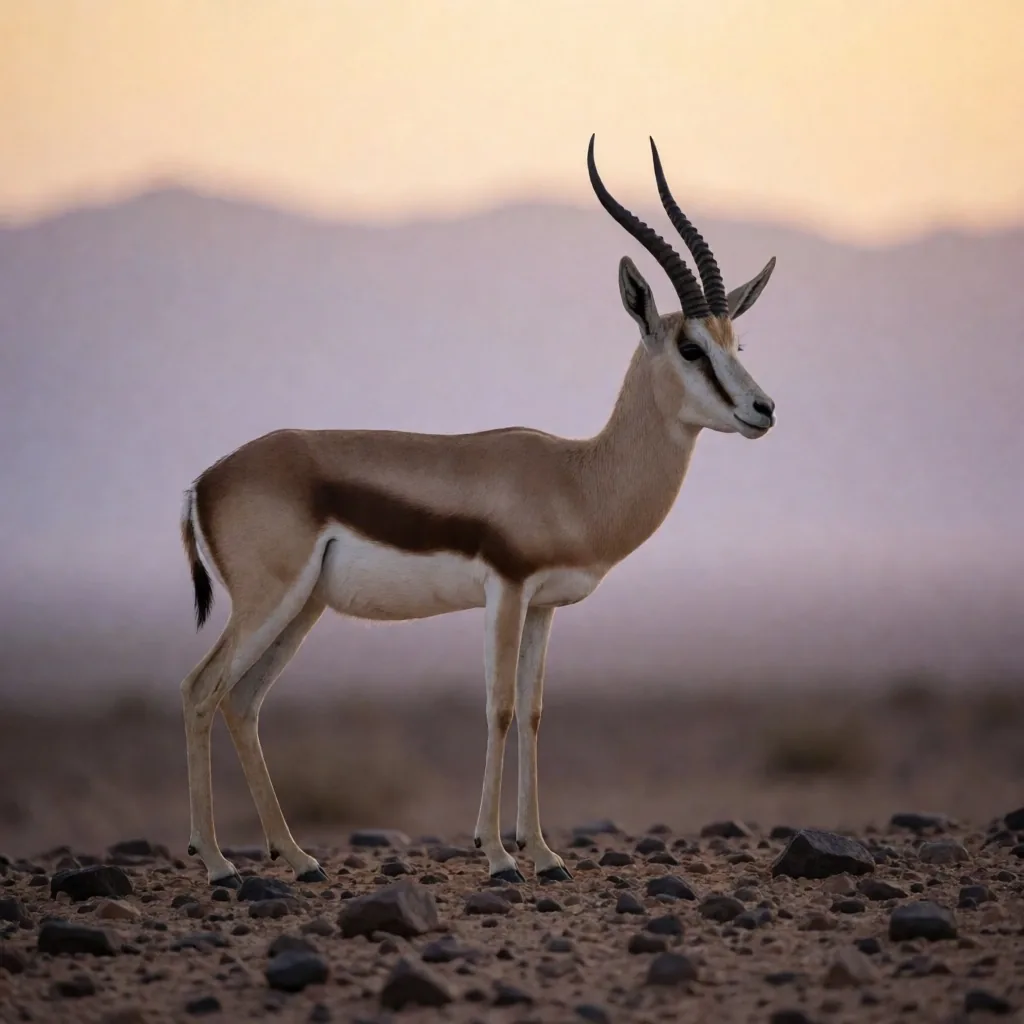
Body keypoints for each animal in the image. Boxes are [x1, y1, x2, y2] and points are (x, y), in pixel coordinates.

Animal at [178, 135, 778, 887]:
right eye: (691, 347)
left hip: (304, 607)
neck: (576, 479)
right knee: (201, 690)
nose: (763, 409)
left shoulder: (544, 607)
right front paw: (495, 854)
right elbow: (497, 708)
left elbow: (534, 712)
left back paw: (296, 855)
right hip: (267, 601)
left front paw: (543, 852)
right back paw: (217, 863)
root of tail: (205, 480)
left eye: (736, 344)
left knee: (244, 700)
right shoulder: (507, 590)